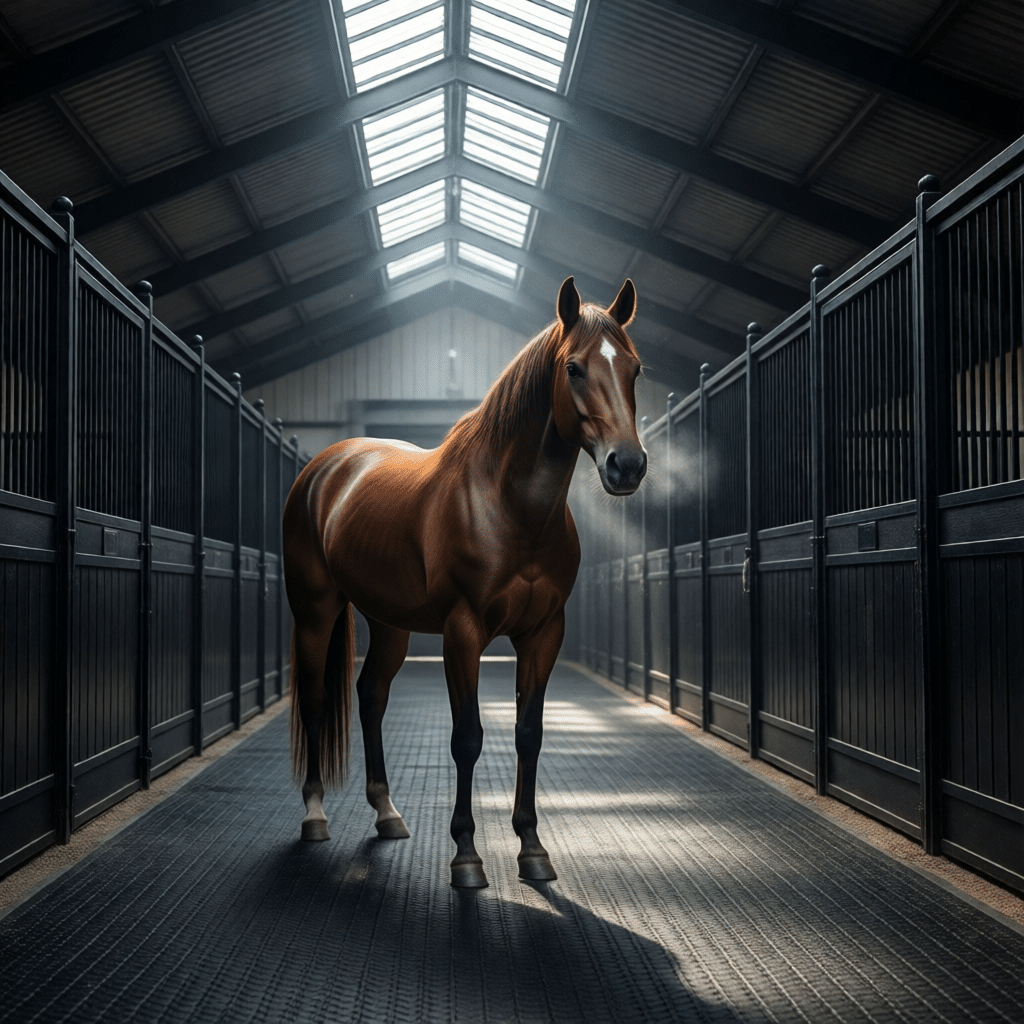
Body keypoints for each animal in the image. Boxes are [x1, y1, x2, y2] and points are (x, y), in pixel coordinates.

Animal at [282, 276, 647, 888]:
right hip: (315, 610)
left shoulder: (544, 633)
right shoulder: (463, 633)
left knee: (370, 694)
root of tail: (327, 464)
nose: (628, 465)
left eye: (636, 370)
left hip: (390, 623)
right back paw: (313, 816)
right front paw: (467, 856)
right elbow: (468, 737)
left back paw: (387, 813)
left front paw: (532, 849)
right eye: (573, 368)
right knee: (314, 697)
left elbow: (529, 734)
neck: (508, 509)